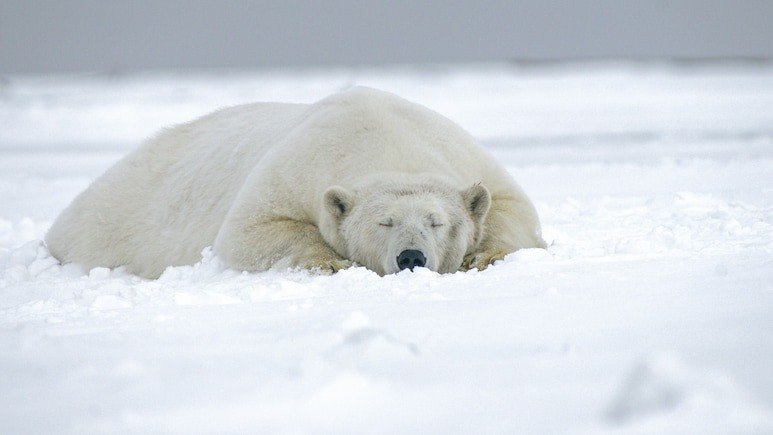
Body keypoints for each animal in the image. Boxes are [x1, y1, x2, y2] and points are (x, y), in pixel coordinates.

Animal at [45, 87, 546, 278]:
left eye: (436, 221)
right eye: (383, 223)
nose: (411, 257)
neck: (385, 139)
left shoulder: (462, 153)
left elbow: (512, 207)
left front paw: (483, 256)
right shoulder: (297, 166)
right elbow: (250, 232)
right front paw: (331, 262)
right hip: (112, 218)